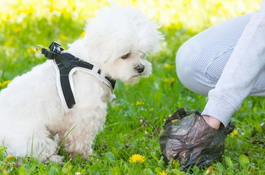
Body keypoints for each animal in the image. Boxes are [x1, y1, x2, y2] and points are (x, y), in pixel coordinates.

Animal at [0, 4, 162, 163]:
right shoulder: (86, 113)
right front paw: (84, 157)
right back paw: (54, 159)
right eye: (125, 55)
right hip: (33, 138)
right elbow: (80, 139)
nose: (141, 68)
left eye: (143, 54)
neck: (93, 63)